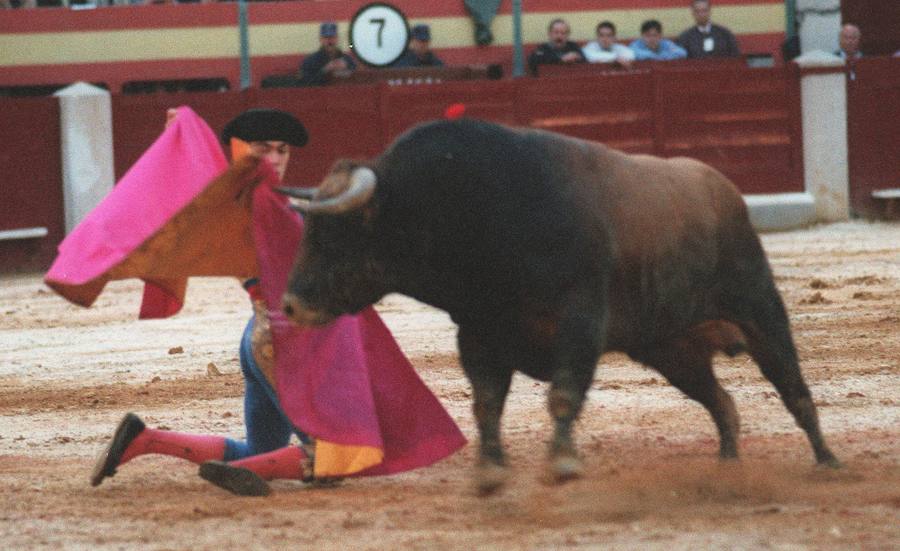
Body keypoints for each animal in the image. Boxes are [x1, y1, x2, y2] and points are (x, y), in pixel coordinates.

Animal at [278, 117, 840, 496]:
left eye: (335, 235)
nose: (290, 305)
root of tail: (725, 191)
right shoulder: (479, 333)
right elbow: (486, 403)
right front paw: (490, 472)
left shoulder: (579, 322)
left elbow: (564, 395)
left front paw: (562, 465)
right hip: (671, 350)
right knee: (721, 401)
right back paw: (728, 467)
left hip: (760, 310)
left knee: (794, 389)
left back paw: (829, 462)